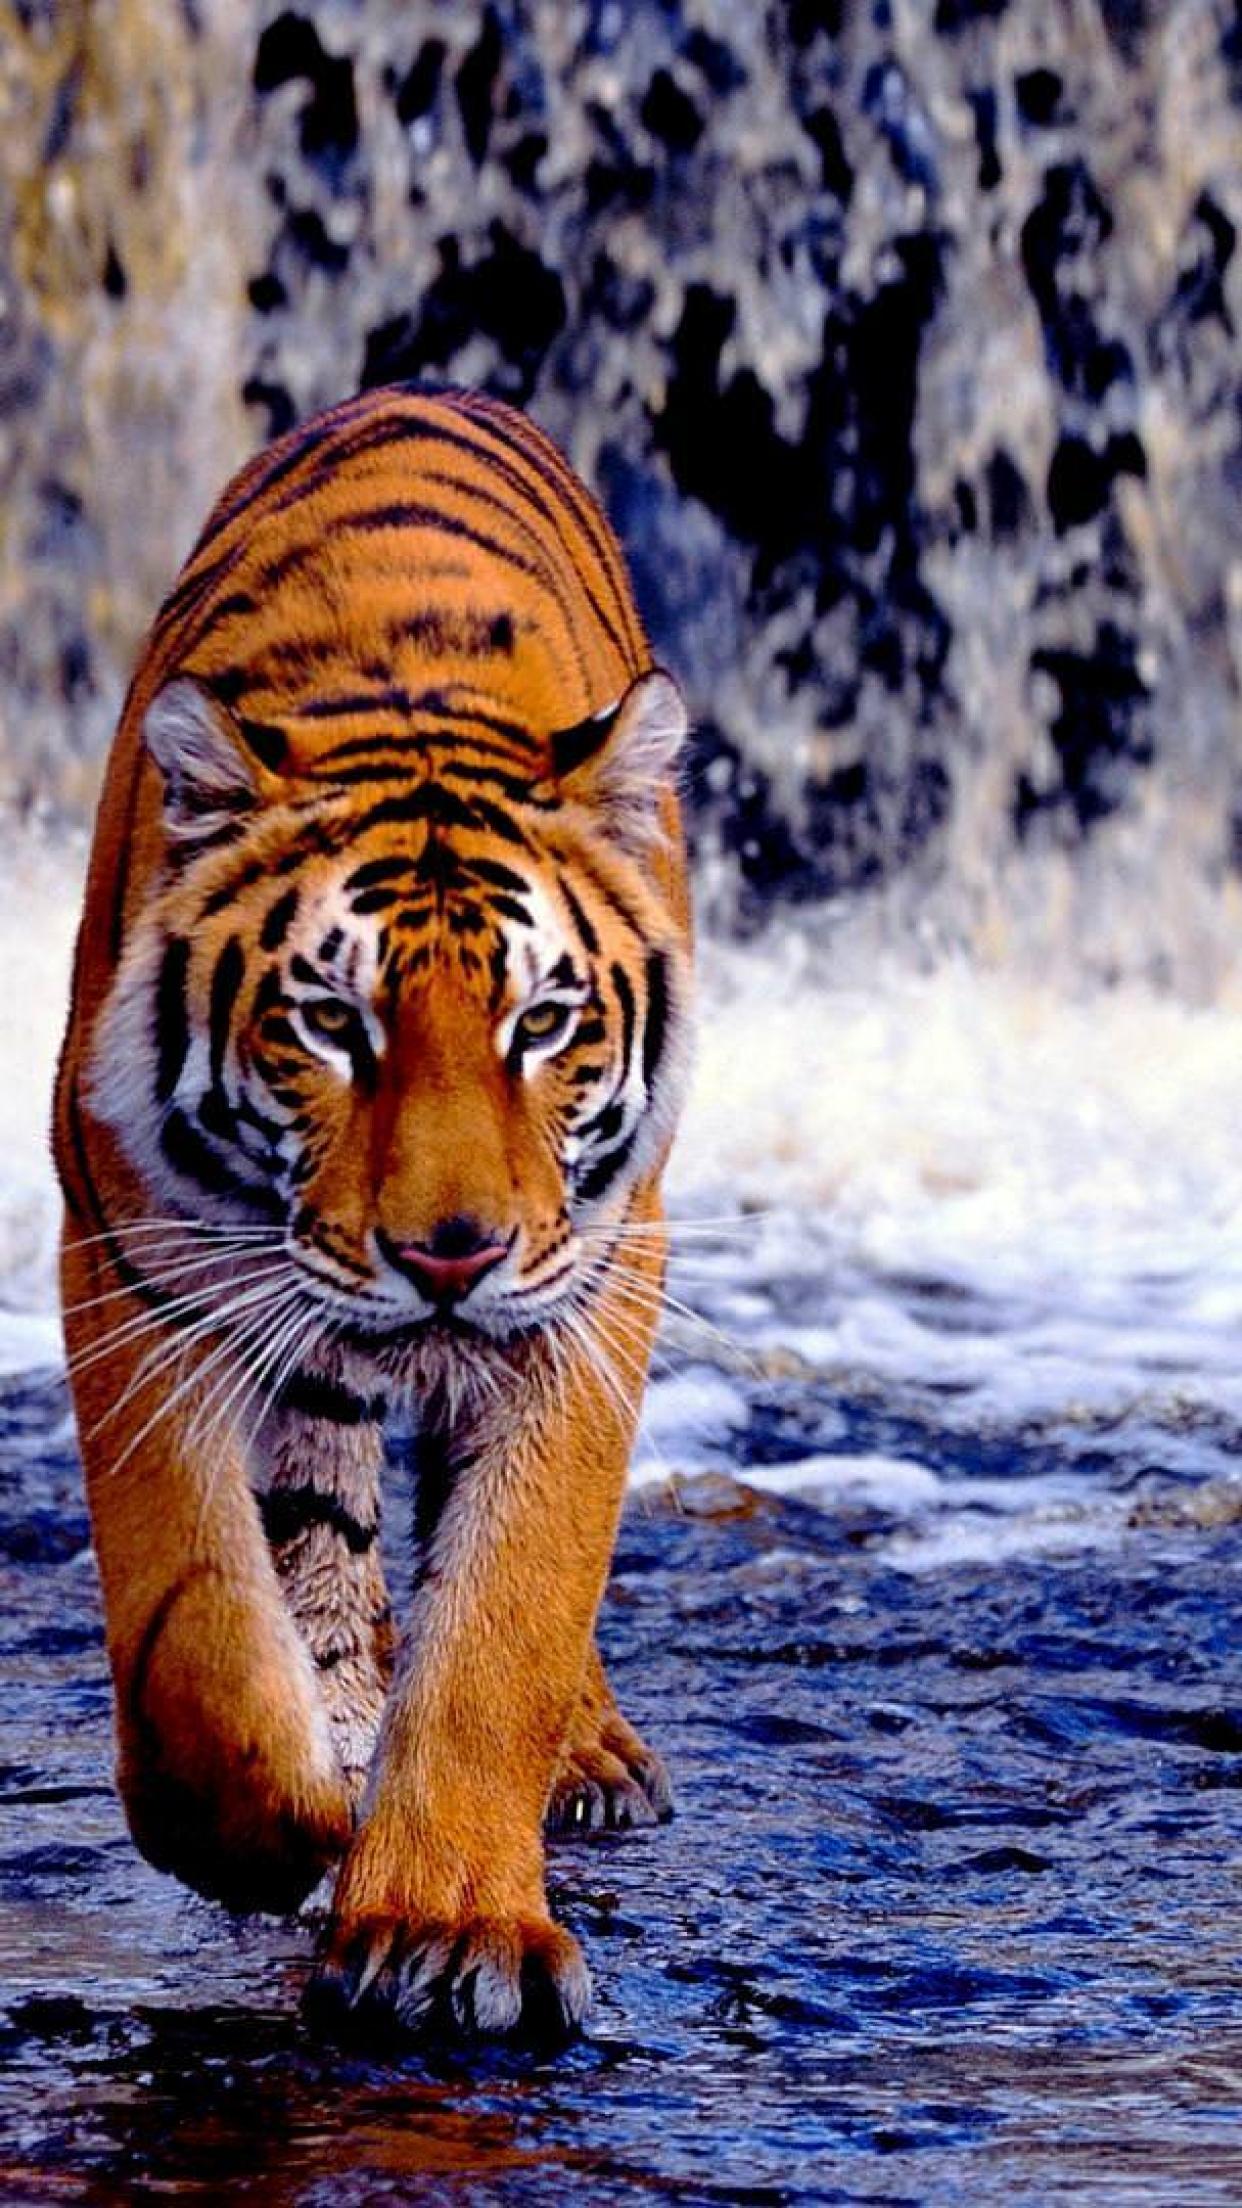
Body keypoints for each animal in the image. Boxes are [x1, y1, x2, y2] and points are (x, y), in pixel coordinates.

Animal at [52, 383, 693, 2043]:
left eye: (543, 1023)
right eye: (330, 1023)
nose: (448, 1255)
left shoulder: (589, 1286)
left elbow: (509, 1614)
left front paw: (445, 1926)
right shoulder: (134, 1257)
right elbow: (197, 1621)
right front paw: (271, 1828)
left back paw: (583, 1754)